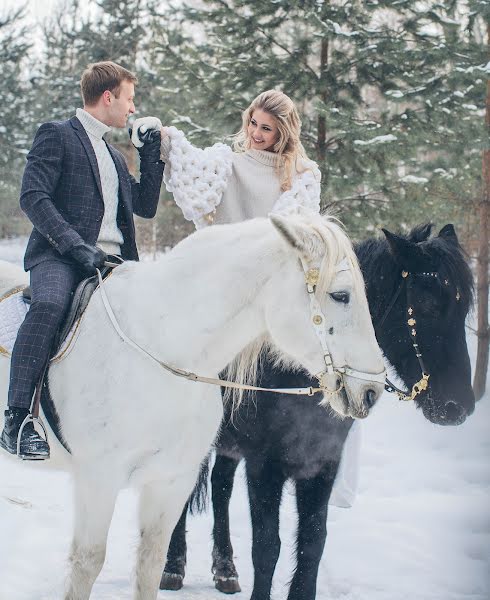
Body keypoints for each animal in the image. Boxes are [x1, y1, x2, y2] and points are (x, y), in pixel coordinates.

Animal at [0, 212, 386, 600]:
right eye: (340, 295)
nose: (372, 390)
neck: (162, 348)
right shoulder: (98, 479)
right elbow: (86, 564)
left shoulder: (172, 480)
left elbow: (150, 563)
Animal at [161, 223, 474, 596]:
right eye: (426, 305)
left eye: (466, 308)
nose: (458, 407)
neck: (294, 372)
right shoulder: (264, 467)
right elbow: (267, 547)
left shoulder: (322, 464)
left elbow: (312, 543)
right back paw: (173, 566)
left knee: (221, 488)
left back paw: (225, 569)